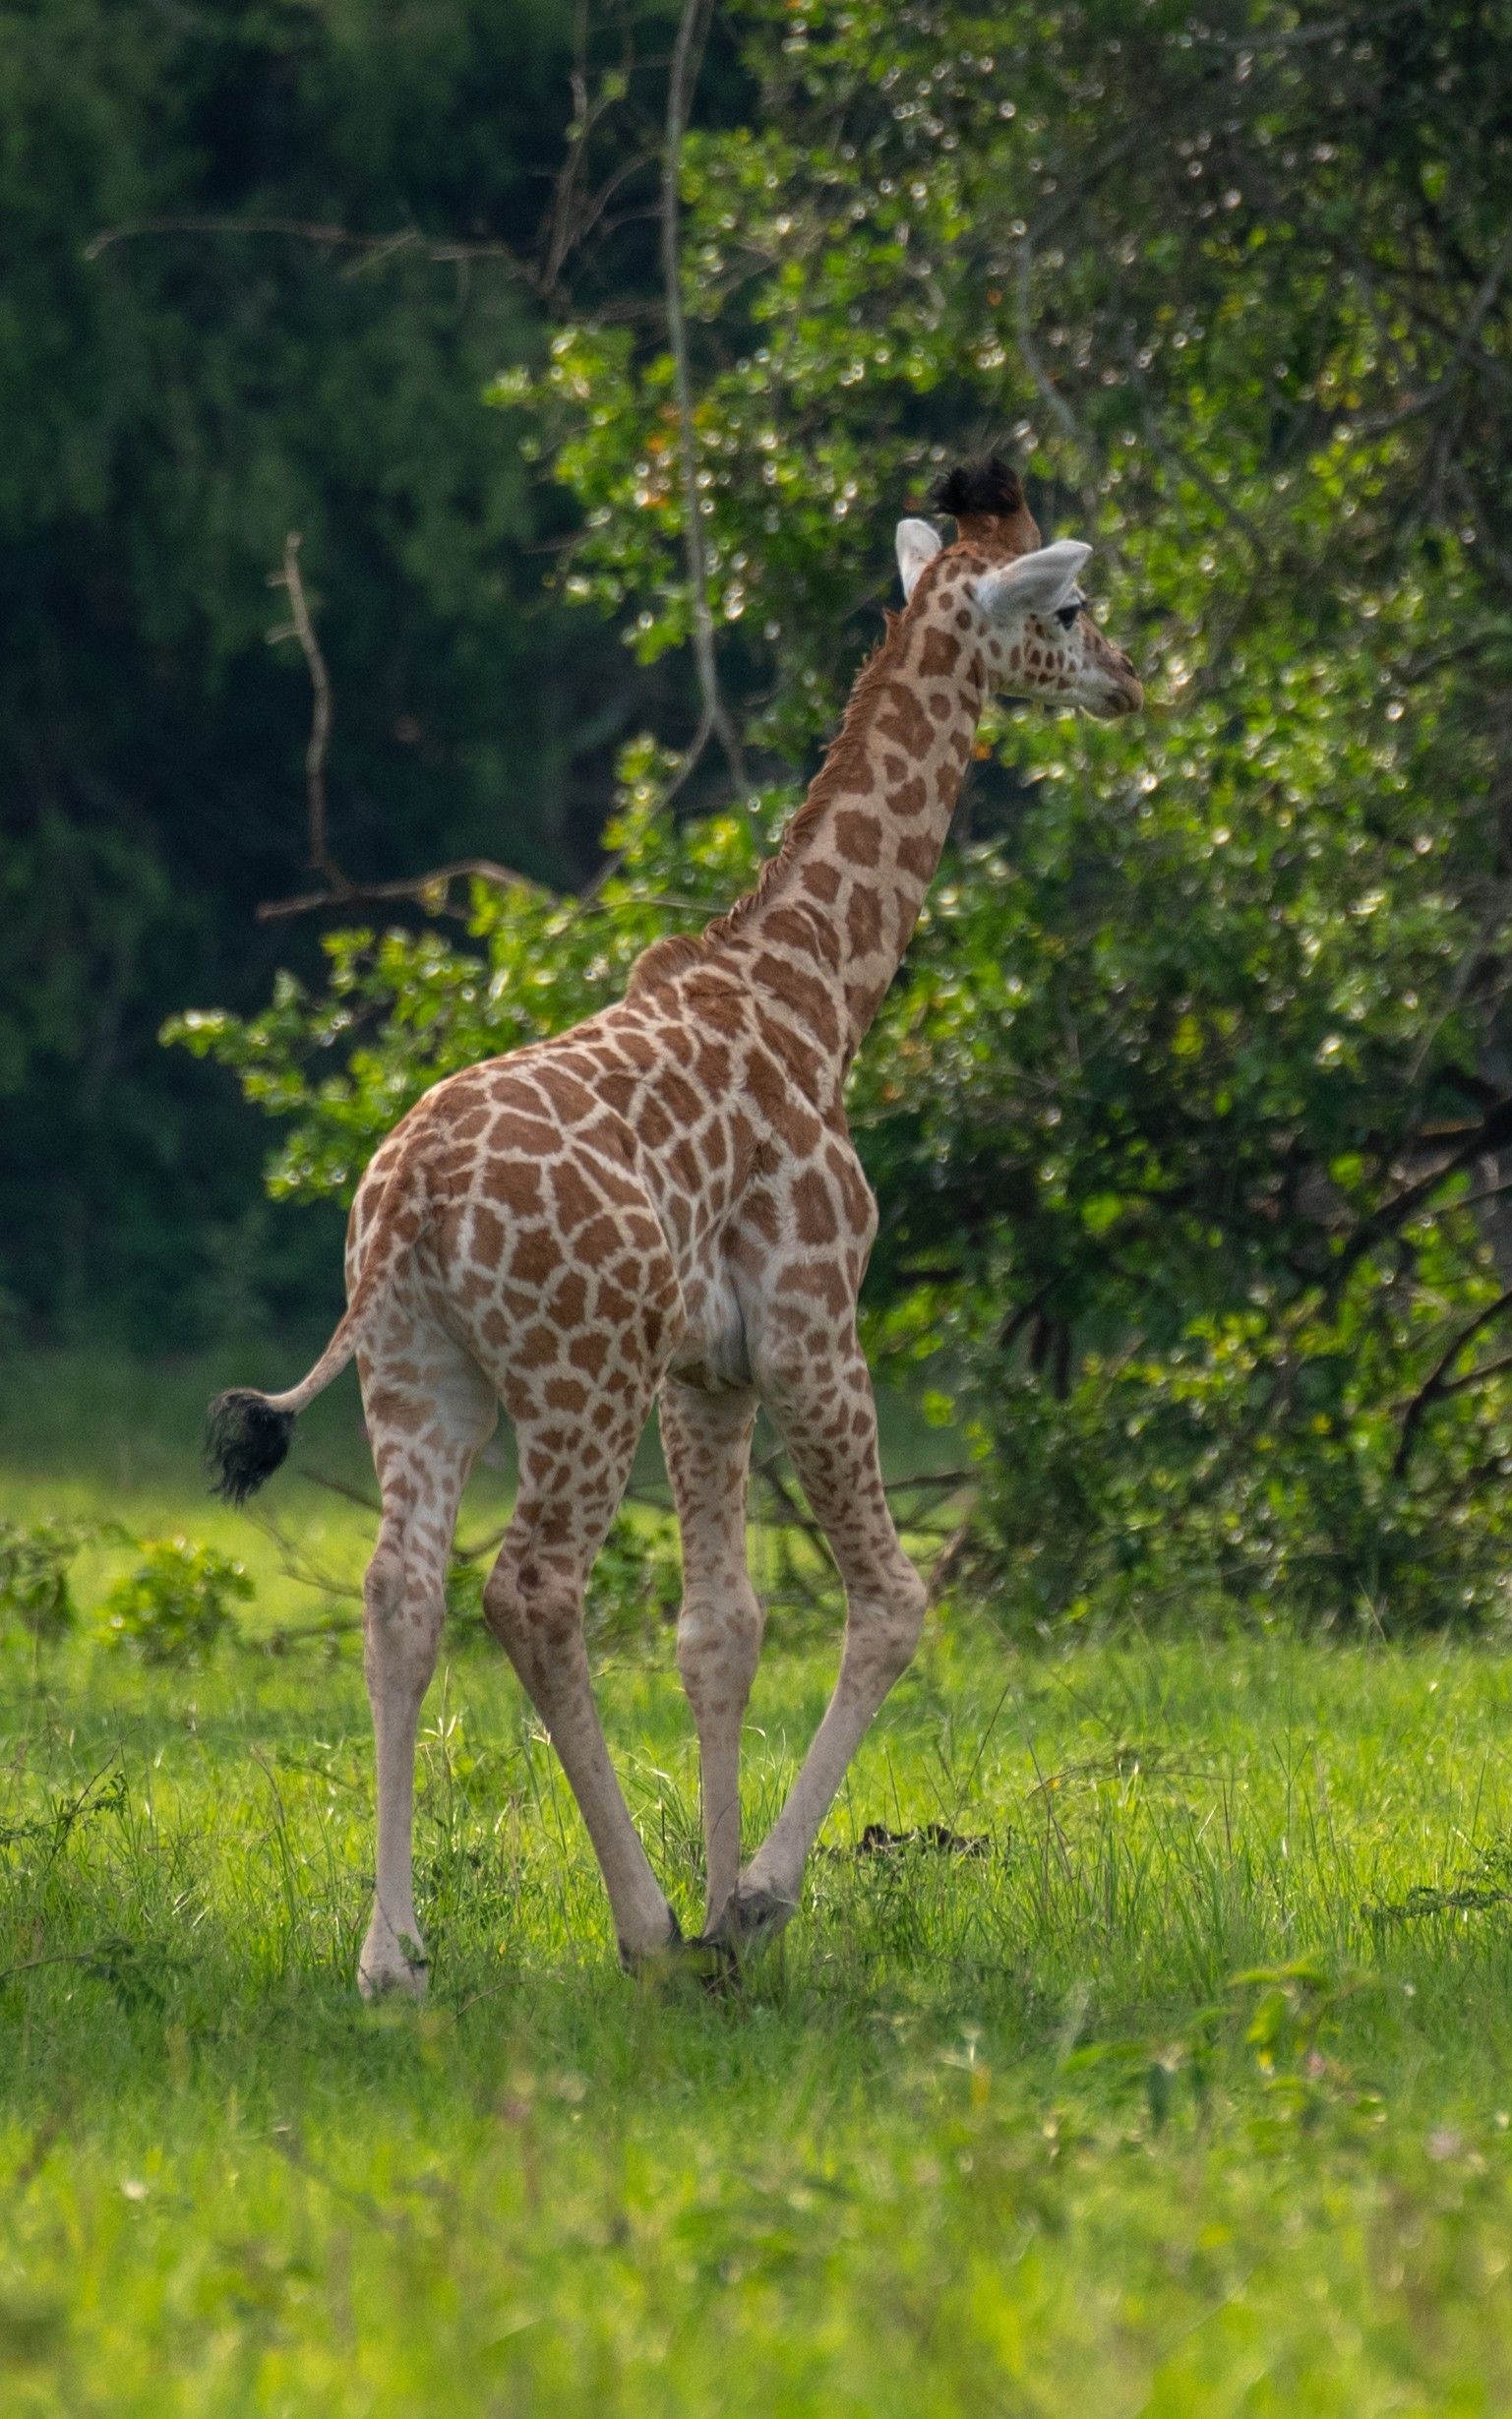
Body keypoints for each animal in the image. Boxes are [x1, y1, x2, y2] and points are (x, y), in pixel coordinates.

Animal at [206, 457, 1143, 1995]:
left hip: (424, 1372)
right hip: (572, 1374)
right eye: (1068, 606)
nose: (1125, 678)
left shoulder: (706, 1369)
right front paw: (746, 1900)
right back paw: (635, 1925)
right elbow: (890, 1600)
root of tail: (405, 1205)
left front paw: (724, 1923)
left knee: (400, 1589)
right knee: (531, 1588)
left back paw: (392, 1957)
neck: (818, 991)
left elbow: (722, 1629)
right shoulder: (814, 1323)